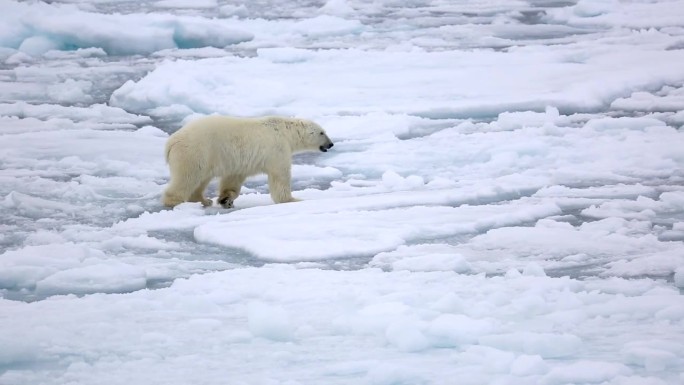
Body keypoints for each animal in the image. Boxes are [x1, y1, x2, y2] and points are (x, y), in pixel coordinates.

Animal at [160, 115, 332, 208]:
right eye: (322, 132)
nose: (331, 144)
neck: (285, 131)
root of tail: (171, 142)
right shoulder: (277, 149)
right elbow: (280, 176)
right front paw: (292, 199)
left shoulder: (239, 162)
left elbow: (233, 178)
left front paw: (226, 200)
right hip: (195, 152)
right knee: (188, 177)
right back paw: (174, 201)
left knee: (201, 179)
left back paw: (204, 200)